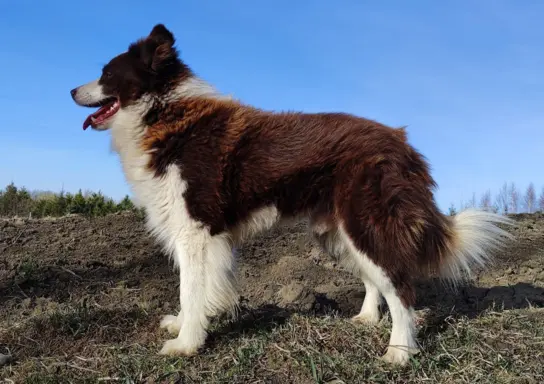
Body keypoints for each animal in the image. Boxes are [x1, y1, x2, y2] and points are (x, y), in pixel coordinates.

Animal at [70, 24, 512, 366]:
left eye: (106, 73)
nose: (72, 90)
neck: (165, 112)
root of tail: (402, 143)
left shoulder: (196, 230)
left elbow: (190, 288)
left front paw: (186, 343)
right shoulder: (199, 233)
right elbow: (195, 286)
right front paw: (186, 325)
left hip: (365, 222)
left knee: (401, 288)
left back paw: (399, 352)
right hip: (337, 232)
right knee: (376, 280)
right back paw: (367, 319)